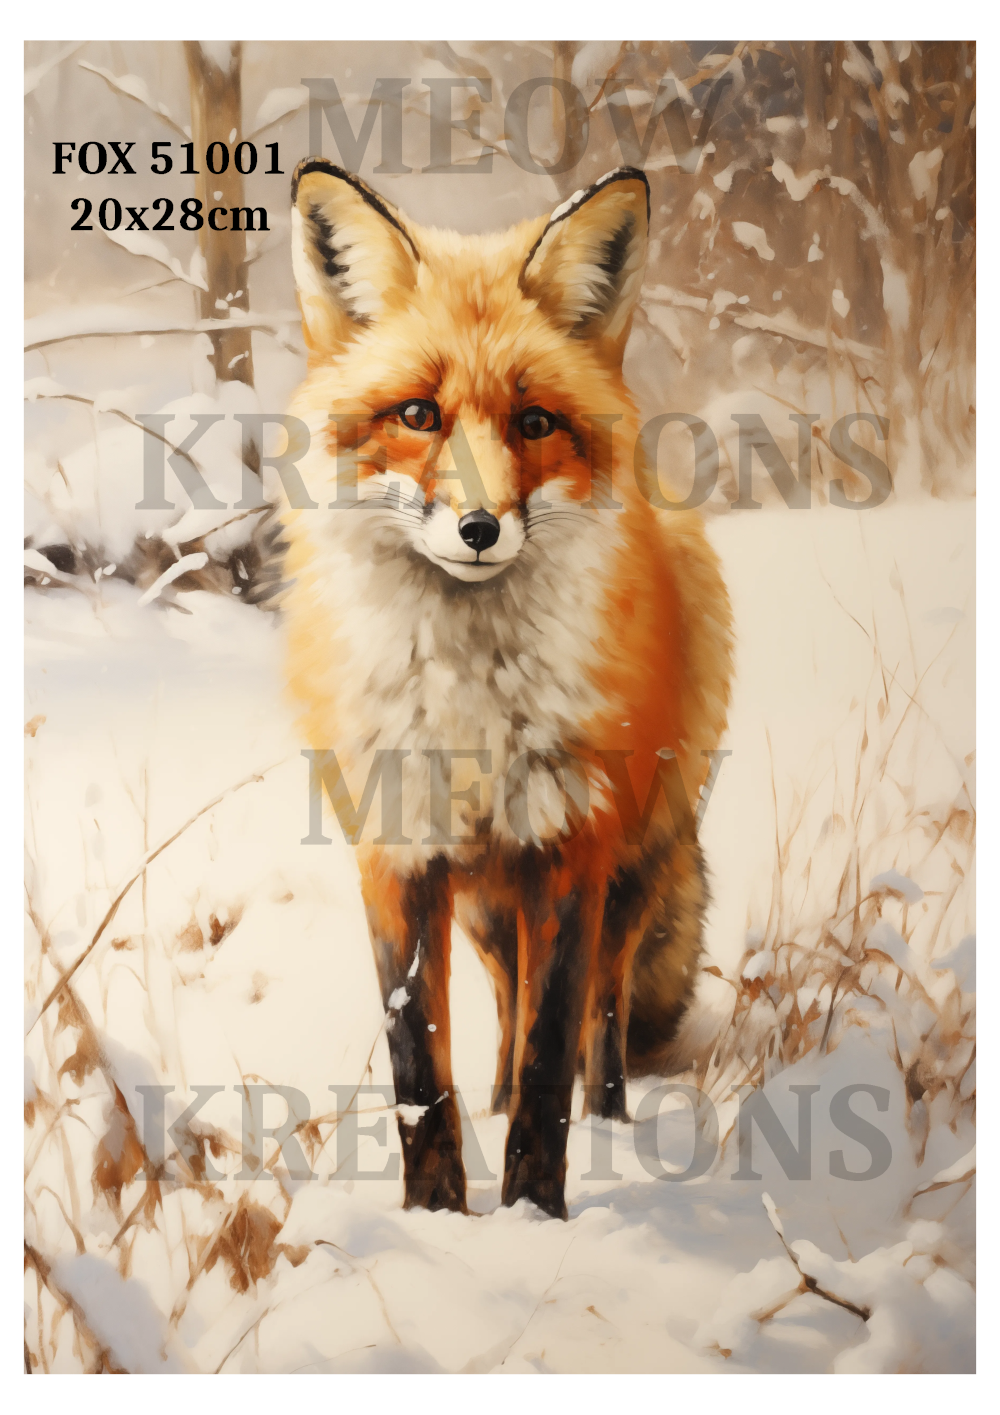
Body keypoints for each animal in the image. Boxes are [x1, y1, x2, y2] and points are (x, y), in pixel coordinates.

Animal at [281, 158, 733, 1220]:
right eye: (419, 414)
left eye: (534, 422)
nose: (481, 529)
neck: (471, 706)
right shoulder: (397, 850)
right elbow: (419, 1069)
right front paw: (440, 1214)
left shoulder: (571, 845)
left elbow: (549, 1054)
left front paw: (535, 1210)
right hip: (487, 904)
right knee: (501, 994)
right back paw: (488, 1106)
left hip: (628, 870)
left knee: (600, 1011)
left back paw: (610, 1124)